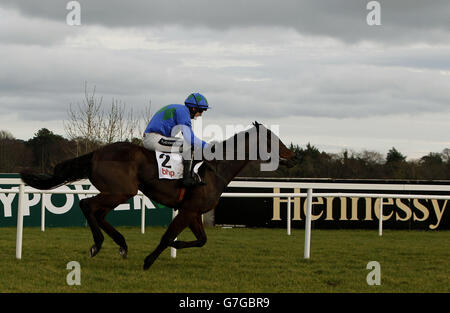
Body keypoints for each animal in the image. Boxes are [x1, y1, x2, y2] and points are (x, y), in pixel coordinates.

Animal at [20, 122, 296, 268]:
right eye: (274, 140)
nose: (293, 156)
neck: (216, 169)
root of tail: (96, 153)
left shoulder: (193, 212)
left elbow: (202, 240)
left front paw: (176, 246)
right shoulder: (188, 210)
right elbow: (166, 237)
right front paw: (149, 260)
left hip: (117, 192)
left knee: (98, 213)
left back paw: (120, 243)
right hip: (122, 191)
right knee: (87, 205)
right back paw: (99, 244)